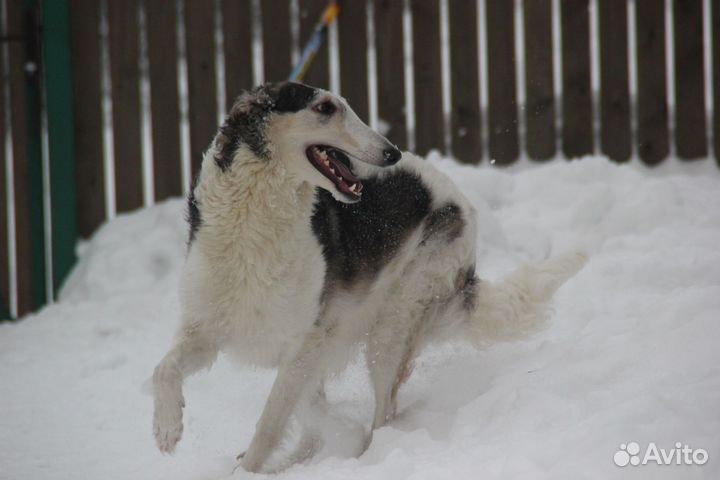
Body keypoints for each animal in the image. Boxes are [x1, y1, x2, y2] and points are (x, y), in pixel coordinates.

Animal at [152, 81, 584, 472]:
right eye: (325, 108)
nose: (391, 152)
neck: (253, 224)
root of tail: (460, 201)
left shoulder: (307, 341)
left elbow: (271, 422)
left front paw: (246, 469)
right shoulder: (212, 327)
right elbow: (164, 368)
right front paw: (167, 428)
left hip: (394, 323)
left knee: (384, 415)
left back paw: (368, 458)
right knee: (319, 426)